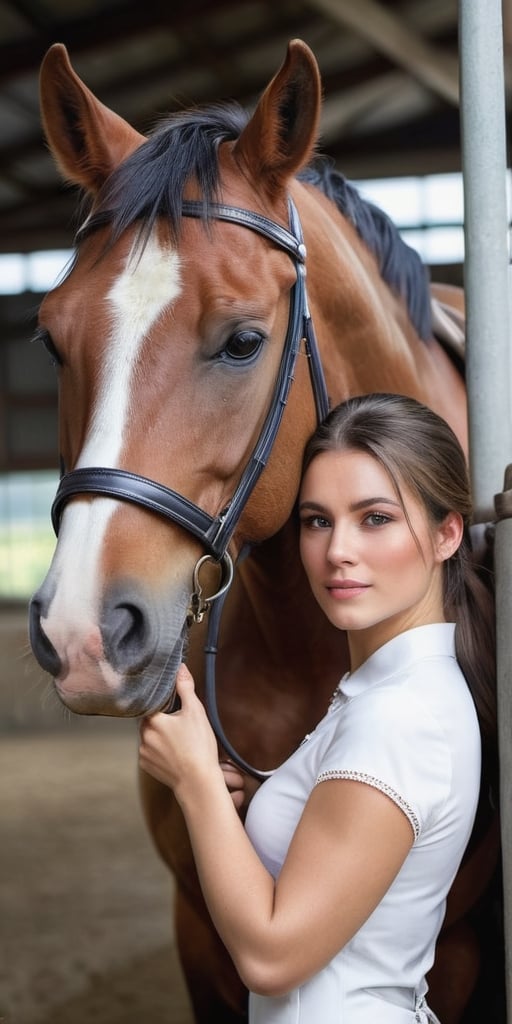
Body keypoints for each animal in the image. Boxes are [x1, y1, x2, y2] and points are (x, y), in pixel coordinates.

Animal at [29, 36, 499, 1024]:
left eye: (244, 341)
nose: (83, 634)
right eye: (51, 339)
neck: (308, 651)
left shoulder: (459, 954)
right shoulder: (199, 933)